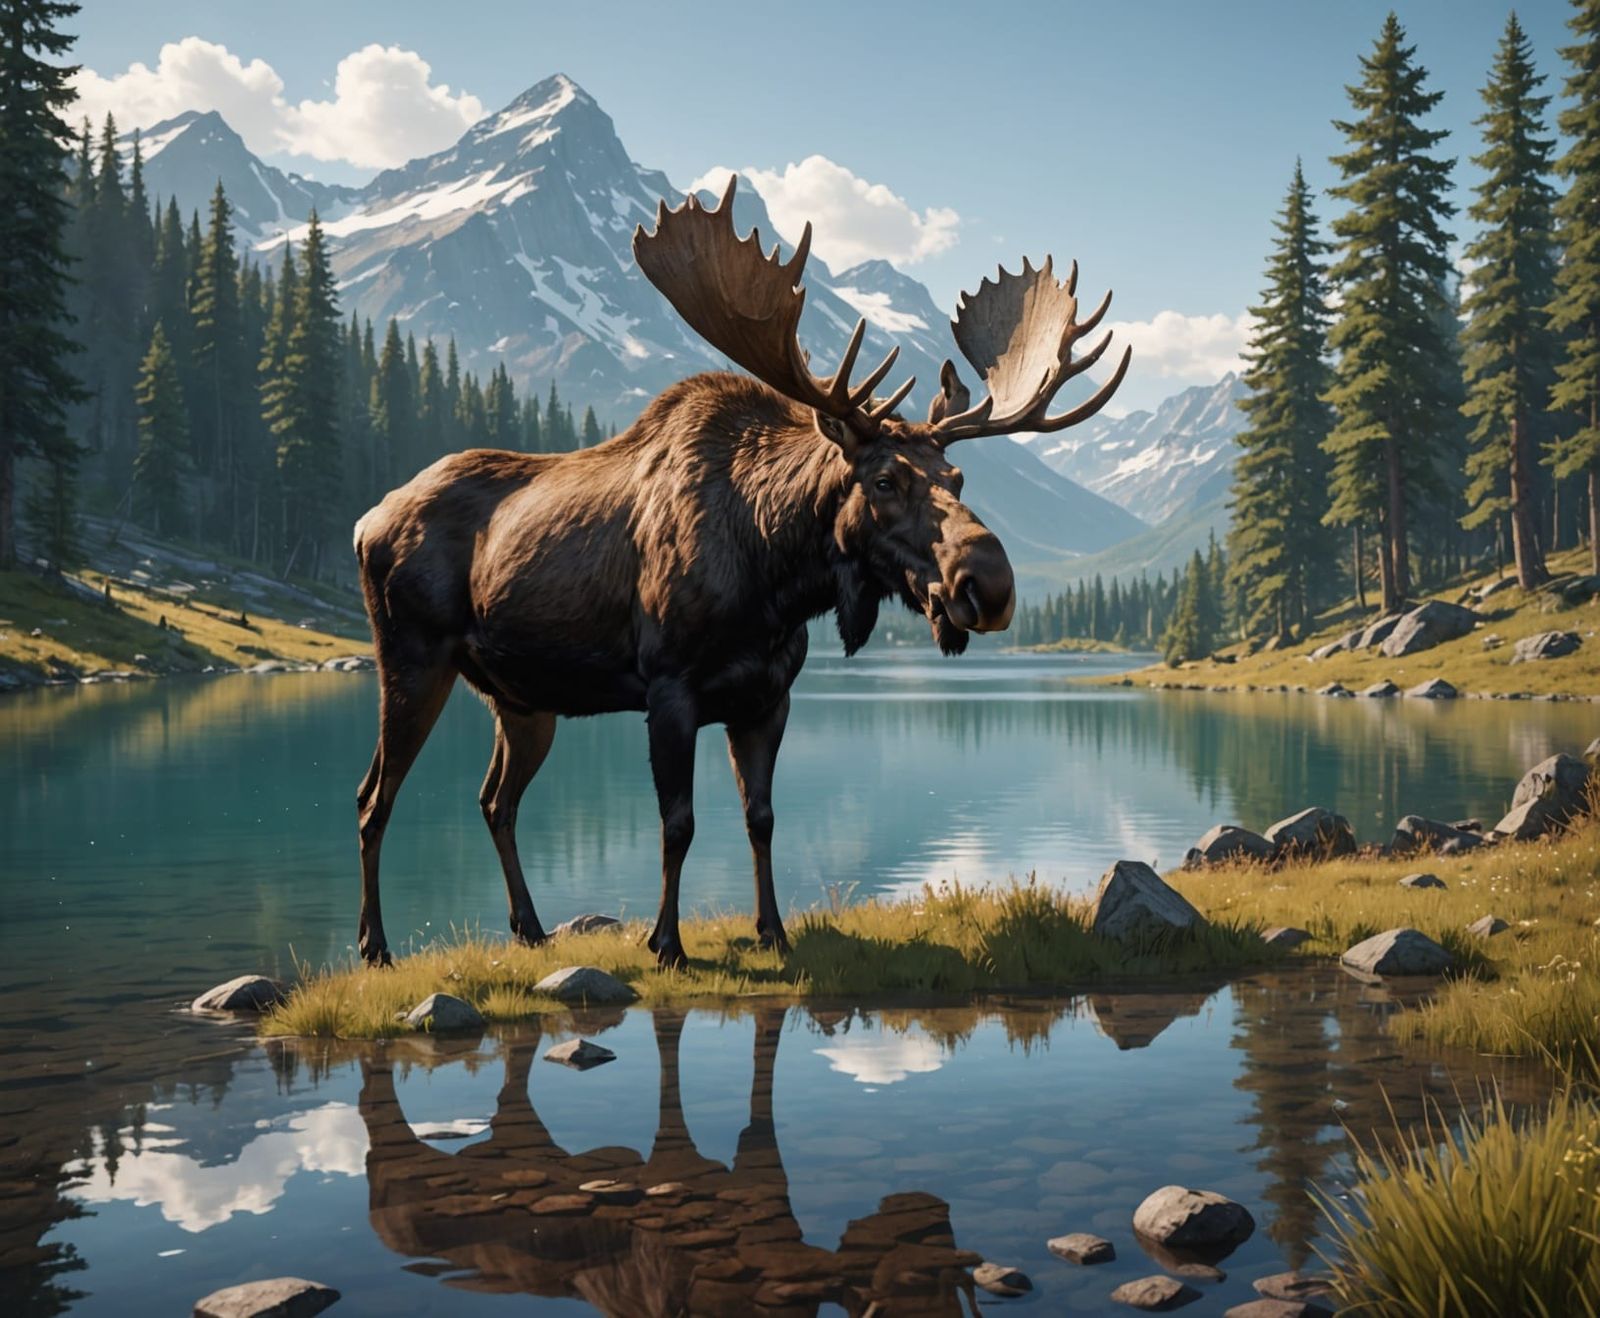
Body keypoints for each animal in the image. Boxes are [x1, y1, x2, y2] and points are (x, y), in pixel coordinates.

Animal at [352, 175, 1129, 969]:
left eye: (960, 477)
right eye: (883, 480)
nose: (989, 585)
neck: (775, 581)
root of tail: (365, 521)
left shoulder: (766, 699)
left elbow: (761, 818)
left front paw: (773, 931)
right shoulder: (669, 690)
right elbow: (679, 823)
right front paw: (666, 942)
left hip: (523, 698)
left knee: (494, 801)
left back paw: (530, 928)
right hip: (413, 661)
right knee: (373, 796)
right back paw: (375, 944)